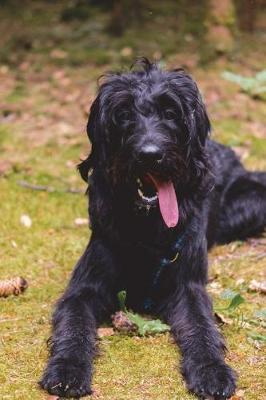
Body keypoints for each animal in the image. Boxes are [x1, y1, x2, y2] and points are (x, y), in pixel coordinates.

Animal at [40, 59, 266, 400]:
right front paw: (67, 368)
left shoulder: (188, 286)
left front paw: (211, 370)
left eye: (171, 113)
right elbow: (74, 324)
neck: (147, 224)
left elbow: (202, 326)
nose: (149, 154)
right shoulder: (83, 288)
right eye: (123, 114)